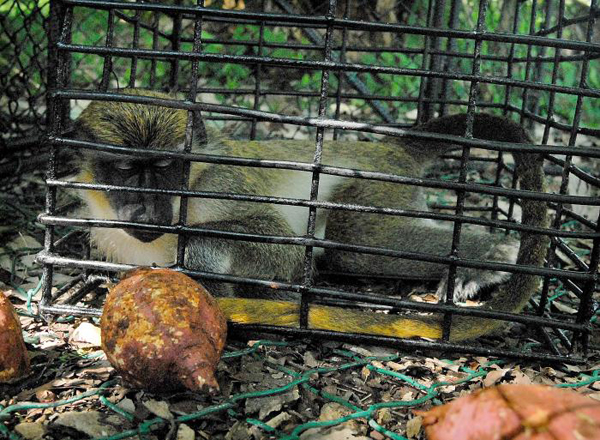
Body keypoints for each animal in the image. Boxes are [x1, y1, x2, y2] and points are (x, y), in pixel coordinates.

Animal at [71, 89, 548, 342]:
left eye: (164, 167)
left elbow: (279, 248)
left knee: (353, 242)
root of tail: (387, 149)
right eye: (127, 170)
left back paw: (494, 254)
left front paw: (204, 271)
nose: (147, 206)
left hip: (378, 188)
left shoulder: (220, 184)